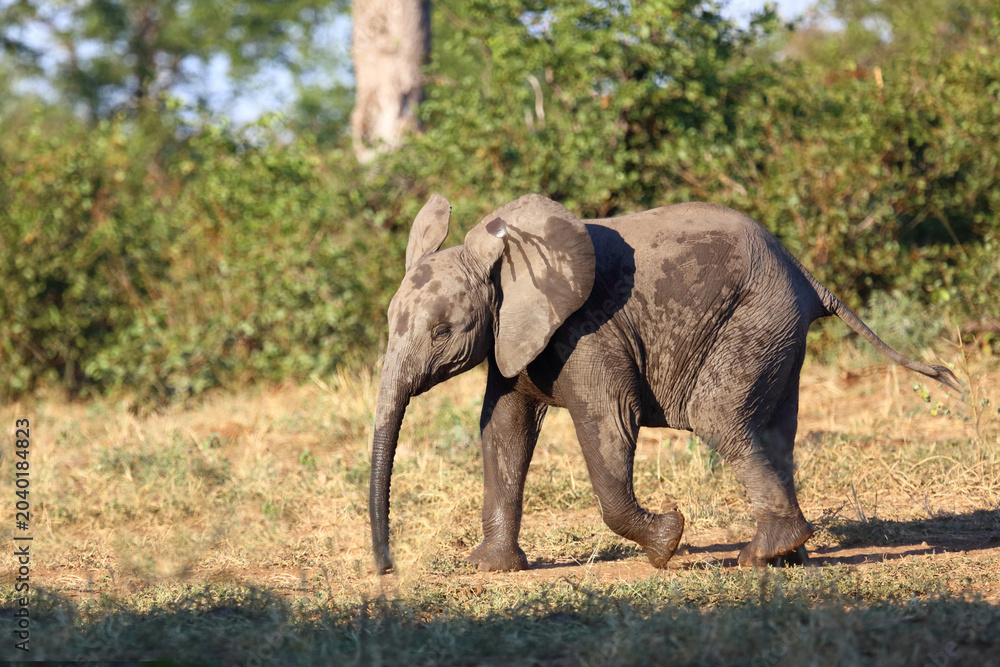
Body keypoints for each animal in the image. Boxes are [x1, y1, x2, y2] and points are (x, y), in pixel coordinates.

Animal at [370, 193, 961, 574]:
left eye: (441, 332)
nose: (386, 570)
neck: (506, 264)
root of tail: (807, 275)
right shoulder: (516, 333)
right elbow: (504, 430)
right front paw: (489, 568)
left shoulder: (589, 331)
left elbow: (608, 423)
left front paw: (668, 541)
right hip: (778, 334)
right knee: (775, 434)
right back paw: (789, 557)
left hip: (754, 318)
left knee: (720, 419)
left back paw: (758, 558)